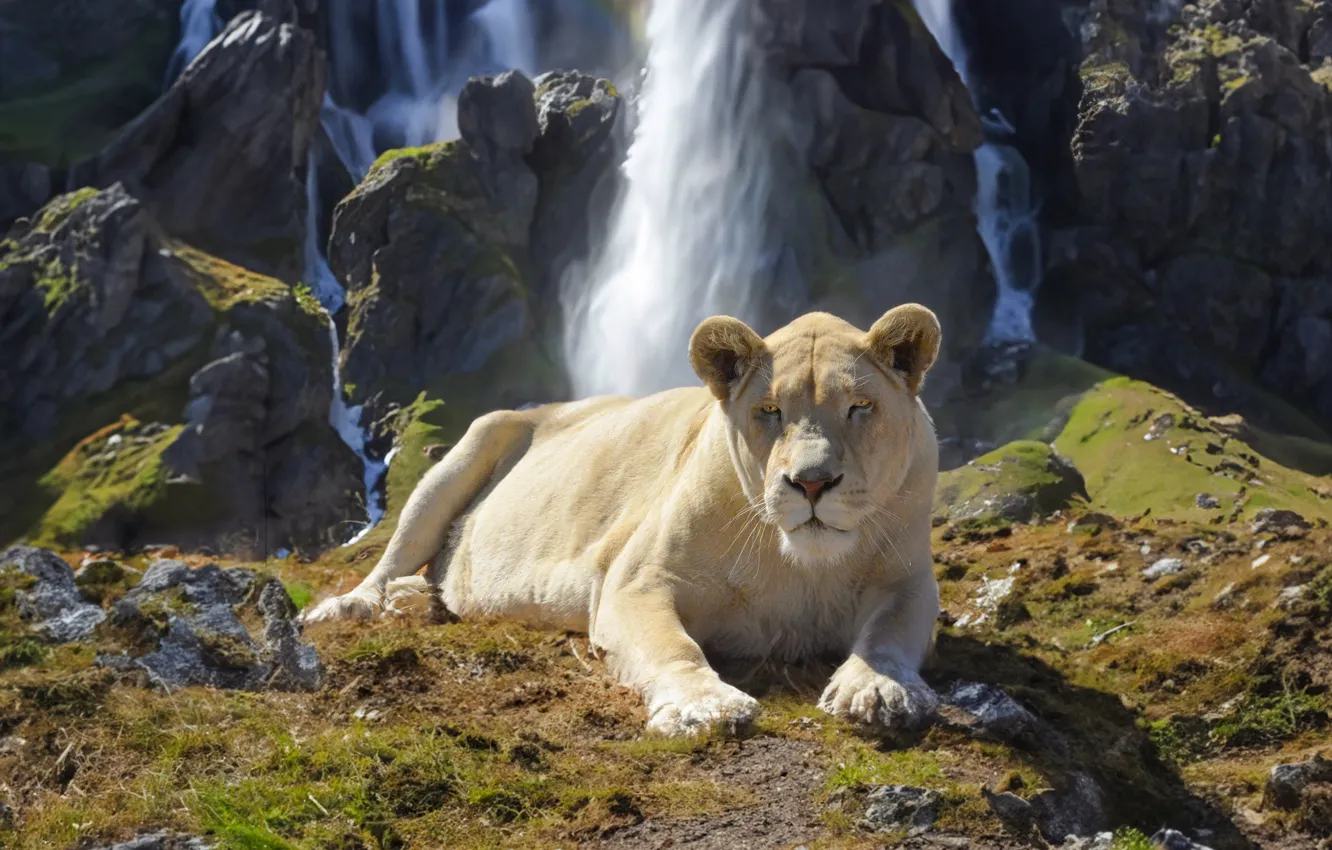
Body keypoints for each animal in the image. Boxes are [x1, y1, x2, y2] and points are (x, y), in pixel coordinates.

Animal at [304, 306, 943, 737]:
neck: (800, 564)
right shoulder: (636, 582)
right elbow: (672, 645)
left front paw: (876, 688)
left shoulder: (908, 580)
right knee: (392, 557)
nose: (811, 483)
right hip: (469, 448)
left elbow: (888, 632)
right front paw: (703, 706)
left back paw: (418, 601)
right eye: (770, 411)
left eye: (859, 407)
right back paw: (360, 605)